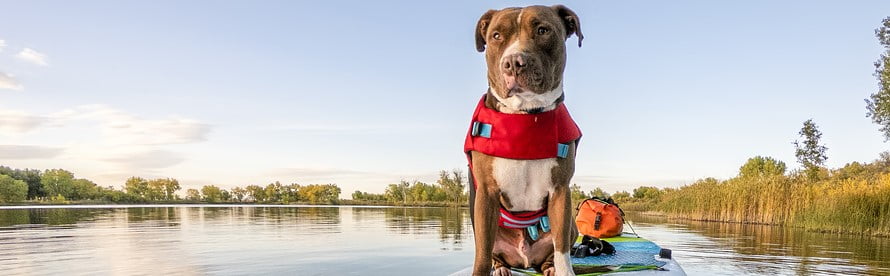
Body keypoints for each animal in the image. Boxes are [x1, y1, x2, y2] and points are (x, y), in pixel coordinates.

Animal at [464, 4, 584, 276]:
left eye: (543, 30)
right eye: (496, 36)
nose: (513, 63)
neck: (527, 115)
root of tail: (524, 260)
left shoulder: (561, 191)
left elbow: (562, 250)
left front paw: (563, 270)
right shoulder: (485, 194)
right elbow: (482, 256)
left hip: (571, 224)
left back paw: (548, 268)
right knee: (491, 252)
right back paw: (501, 268)